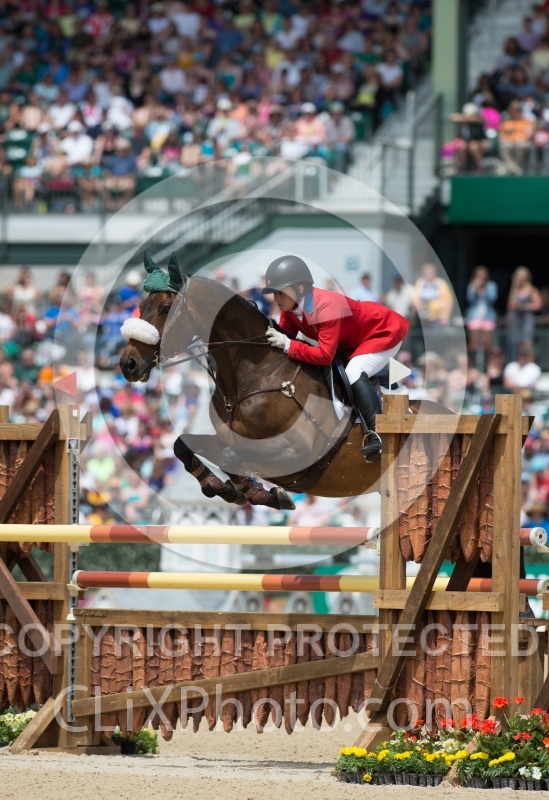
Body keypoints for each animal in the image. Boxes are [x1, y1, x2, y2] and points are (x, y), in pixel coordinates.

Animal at [119, 254, 450, 511]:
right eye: (141, 305)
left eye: (166, 309)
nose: (128, 364)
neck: (252, 373)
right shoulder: (229, 438)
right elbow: (183, 445)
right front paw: (225, 487)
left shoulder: (296, 452)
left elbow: (230, 456)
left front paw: (256, 492)